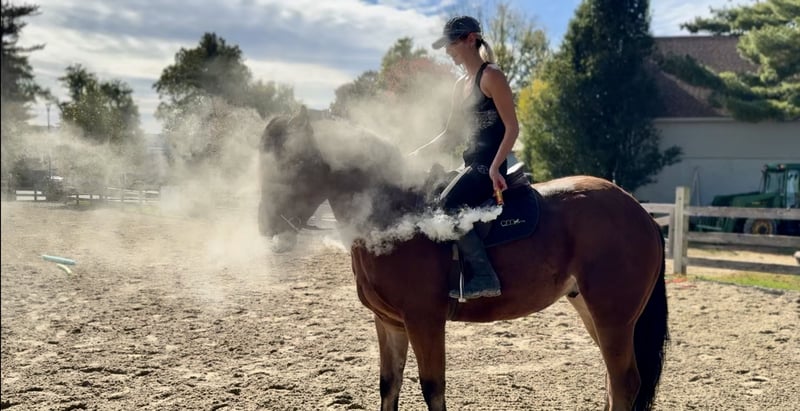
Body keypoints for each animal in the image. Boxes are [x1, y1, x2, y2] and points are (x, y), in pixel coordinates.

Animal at [257, 107, 668, 411]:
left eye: (292, 164)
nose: (263, 225)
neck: (395, 215)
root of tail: (640, 212)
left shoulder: (424, 320)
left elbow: (432, 388)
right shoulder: (389, 323)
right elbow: (389, 386)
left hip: (613, 316)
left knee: (624, 382)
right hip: (594, 311)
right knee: (614, 382)